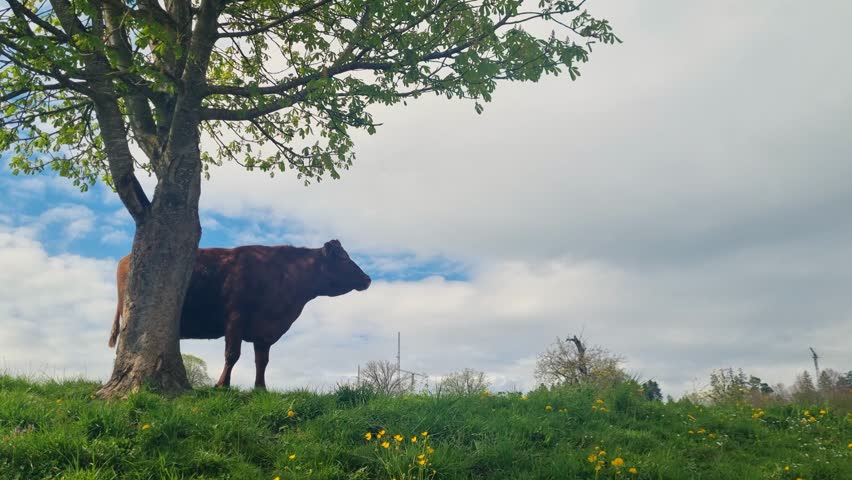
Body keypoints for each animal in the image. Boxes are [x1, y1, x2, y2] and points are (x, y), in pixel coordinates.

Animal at [108, 239, 371, 389]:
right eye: (344, 259)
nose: (367, 278)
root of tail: (125, 258)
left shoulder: (264, 331)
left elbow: (262, 361)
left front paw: (260, 388)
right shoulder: (235, 320)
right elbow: (232, 354)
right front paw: (222, 385)